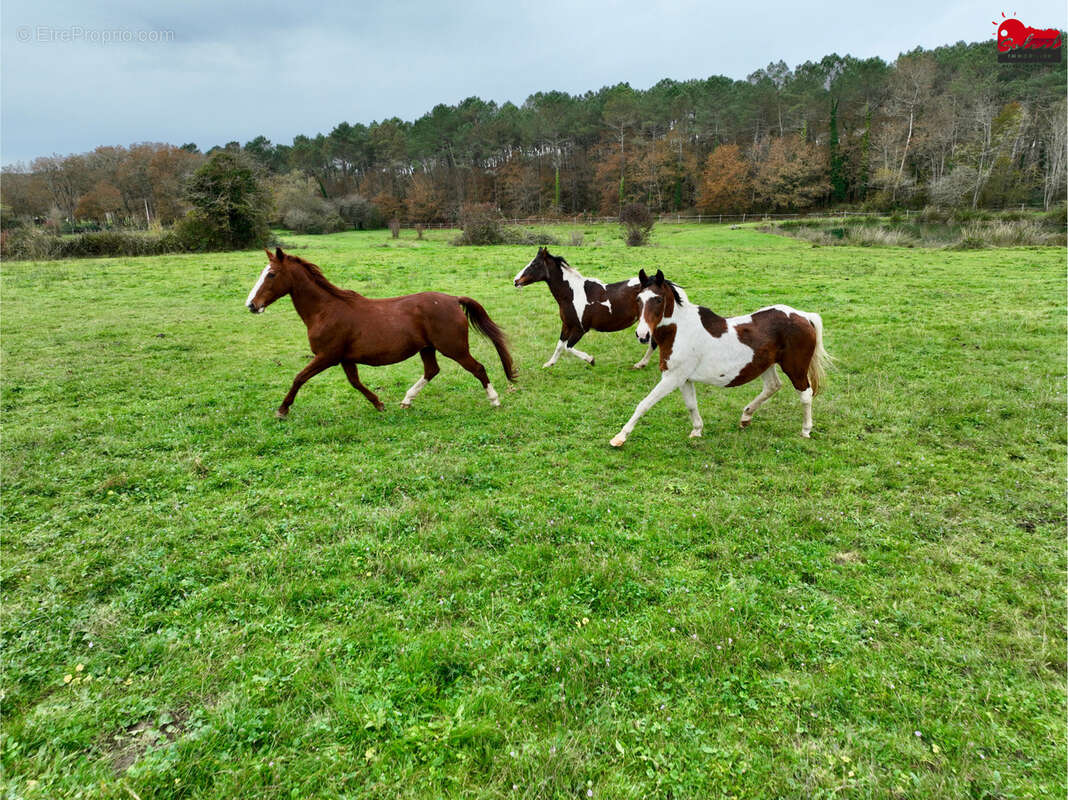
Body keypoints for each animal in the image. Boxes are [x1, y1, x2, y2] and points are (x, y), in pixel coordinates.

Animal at [249, 246, 516, 414]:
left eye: (271, 274)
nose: (251, 305)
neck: (325, 310)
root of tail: (453, 299)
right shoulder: (345, 358)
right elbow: (355, 383)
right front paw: (379, 404)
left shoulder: (327, 356)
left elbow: (299, 377)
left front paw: (282, 409)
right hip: (427, 348)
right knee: (432, 370)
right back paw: (406, 401)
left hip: (454, 348)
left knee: (478, 368)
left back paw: (495, 401)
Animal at [512, 246, 653, 367]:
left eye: (535, 264)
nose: (516, 281)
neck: (572, 294)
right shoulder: (567, 325)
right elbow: (559, 345)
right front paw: (549, 364)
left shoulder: (580, 329)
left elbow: (568, 347)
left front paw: (591, 360)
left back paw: (641, 364)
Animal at [610, 267, 833, 442]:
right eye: (638, 299)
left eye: (657, 299)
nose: (642, 335)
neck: (680, 330)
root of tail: (804, 316)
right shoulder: (683, 379)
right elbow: (691, 405)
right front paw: (697, 431)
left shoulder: (672, 377)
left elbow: (644, 404)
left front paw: (619, 437)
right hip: (766, 365)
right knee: (773, 387)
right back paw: (745, 417)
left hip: (795, 367)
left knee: (805, 393)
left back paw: (805, 430)